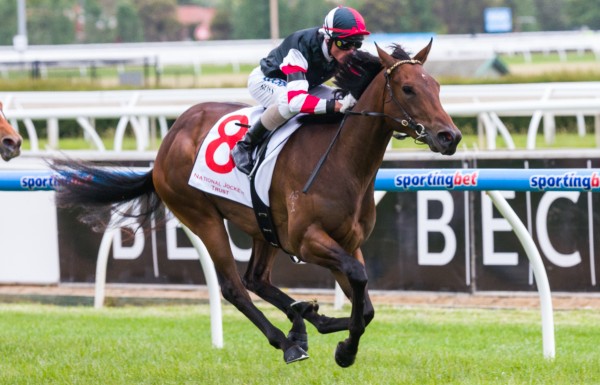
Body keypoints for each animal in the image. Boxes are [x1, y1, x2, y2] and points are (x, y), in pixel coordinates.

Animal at [52, 40, 464, 368]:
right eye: (408, 89)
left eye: (437, 86)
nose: (451, 136)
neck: (343, 161)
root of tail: (166, 143)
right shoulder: (307, 241)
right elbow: (359, 283)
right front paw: (345, 349)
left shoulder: (347, 242)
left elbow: (366, 304)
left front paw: (337, 335)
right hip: (202, 216)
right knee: (234, 287)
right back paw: (287, 341)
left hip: (262, 224)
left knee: (257, 278)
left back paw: (304, 319)